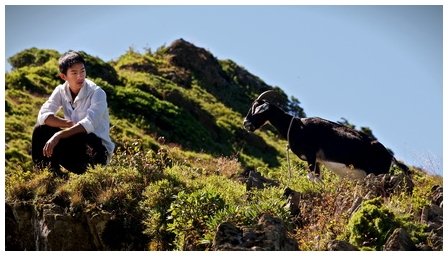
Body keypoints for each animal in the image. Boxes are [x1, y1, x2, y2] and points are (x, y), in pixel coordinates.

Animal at [243, 91, 408, 179]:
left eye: (258, 109)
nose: (246, 123)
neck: (296, 126)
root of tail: (391, 158)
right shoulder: (318, 161)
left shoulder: (311, 156)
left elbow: (313, 178)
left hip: (376, 172)